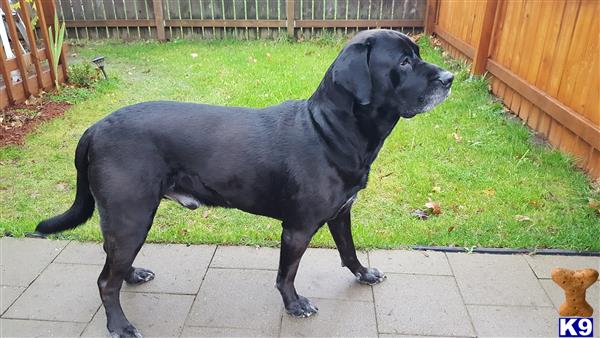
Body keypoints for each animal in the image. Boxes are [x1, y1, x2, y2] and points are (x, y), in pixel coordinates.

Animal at [36, 29, 450, 338]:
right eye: (404, 62)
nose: (449, 79)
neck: (329, 129)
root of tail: (94, 128)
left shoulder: (341, 212)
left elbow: (348, 252)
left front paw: (364, 275)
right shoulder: (297, 228)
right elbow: (286, 274)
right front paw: (295, 305)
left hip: (131, 217)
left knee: (114, 265)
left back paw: (134, 275)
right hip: (130, 215)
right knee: (106, 281)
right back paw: (120, 325)